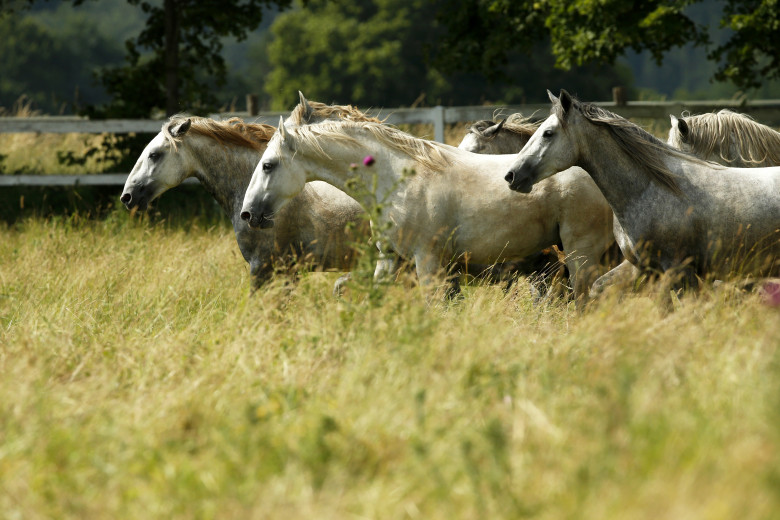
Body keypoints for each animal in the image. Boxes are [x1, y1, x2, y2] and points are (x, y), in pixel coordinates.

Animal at [241, 116, 620, 298]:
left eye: (268, 165)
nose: (248, 214)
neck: (399, 180)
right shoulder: (390, 258)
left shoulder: (427, 260)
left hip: (581, 254)